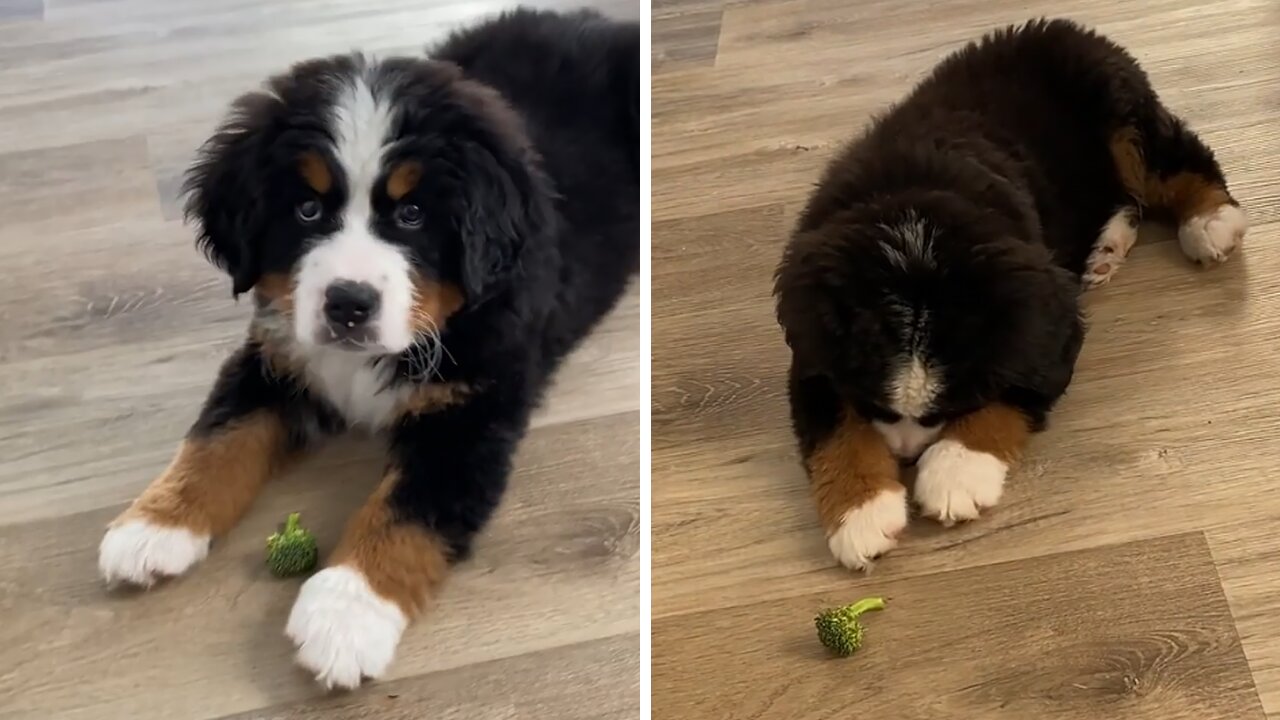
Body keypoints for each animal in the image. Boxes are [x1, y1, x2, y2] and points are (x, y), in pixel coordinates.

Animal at [93, 8, 640, 686]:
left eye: (411, 214)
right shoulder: (276, 356)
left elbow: (406, 509)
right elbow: (217, 438)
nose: (348, 303)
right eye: (306, 209)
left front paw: (347, 615)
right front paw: (153, 525)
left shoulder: (471, 411)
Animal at [773, 19, 1244, 571]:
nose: (907, 456)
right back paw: (1107, 247)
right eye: (876, 404)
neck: (915, 234)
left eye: (957, 404)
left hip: (1121, 116)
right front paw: (861, 513)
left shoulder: (1045, 324)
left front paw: (956, 470)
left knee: (1173, 162)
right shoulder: (812, 347)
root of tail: (1062, 26)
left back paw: (1210, 221)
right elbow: (833, 428)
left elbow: (1017, 388)